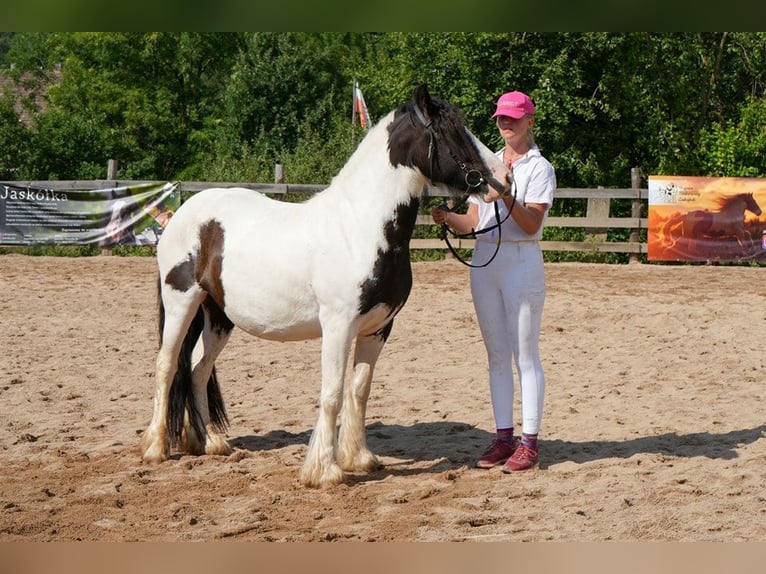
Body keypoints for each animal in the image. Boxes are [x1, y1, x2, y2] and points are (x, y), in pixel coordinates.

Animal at [141, 84, 512, 490]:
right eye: (452, 131)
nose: (503, 177)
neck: (360, 228)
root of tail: (184, 213)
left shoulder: (379, 328)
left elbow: (359, 390)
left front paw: (359, 458)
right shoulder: (337, 326)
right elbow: (332, 393)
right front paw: (325, 470)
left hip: (218, 315)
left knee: (197, 369)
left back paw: (209, 442)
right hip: (181, 301)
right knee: (166, 364)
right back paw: (156, 448)